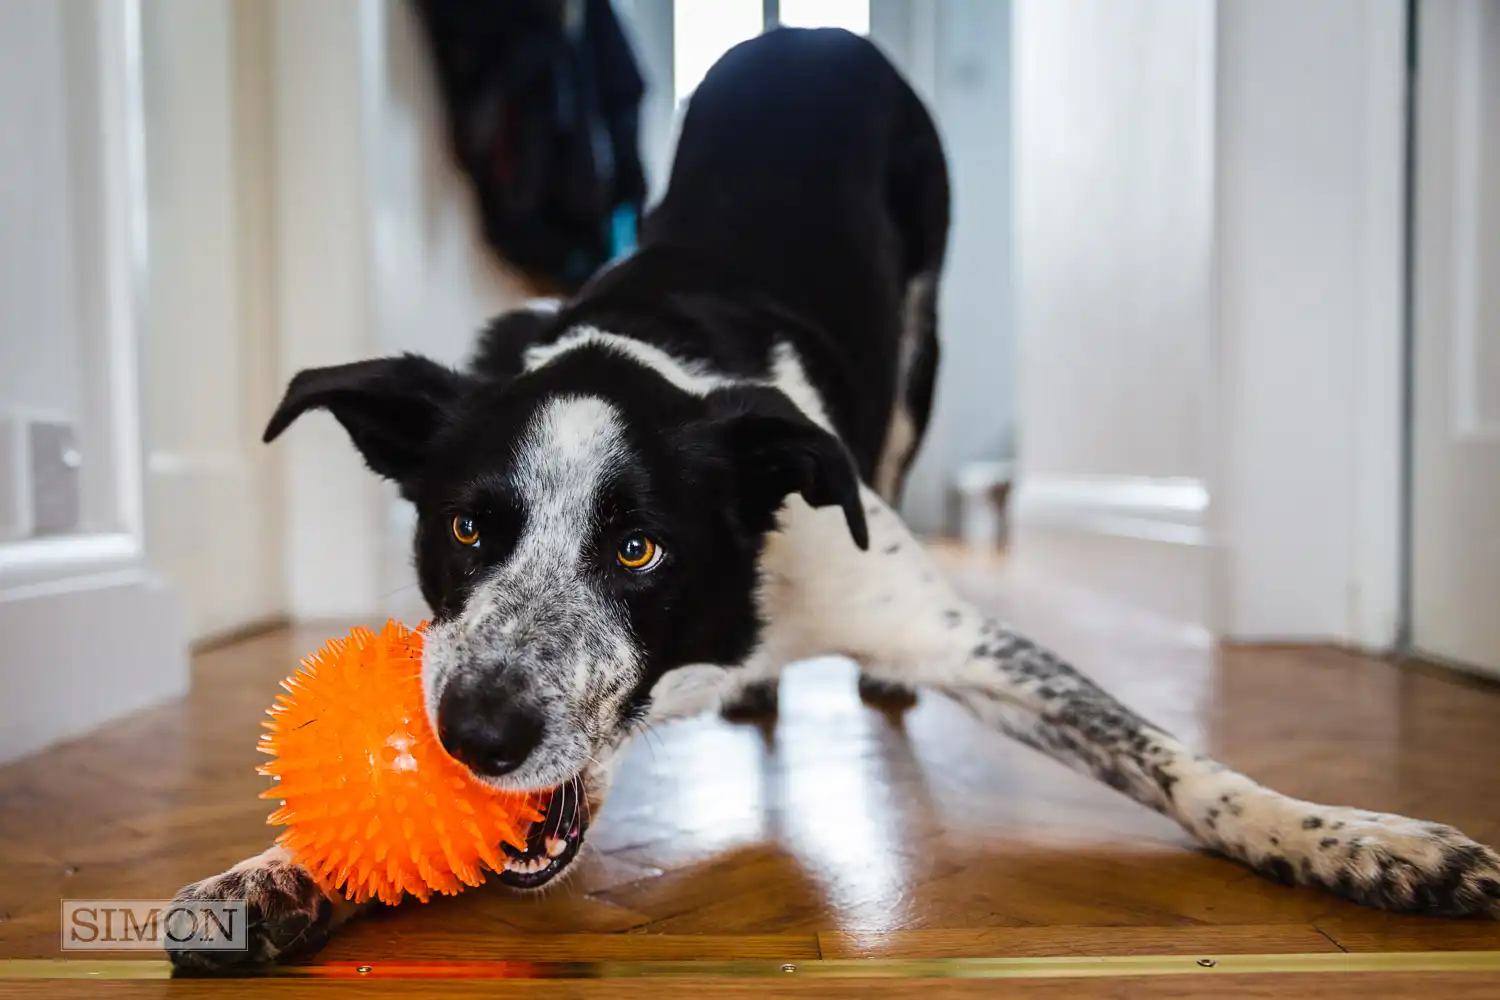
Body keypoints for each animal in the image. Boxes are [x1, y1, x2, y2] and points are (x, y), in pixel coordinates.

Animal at [170, 29, 1494, 971]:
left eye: (639, 548)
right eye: (464, 529)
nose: (479, 733)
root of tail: (802, 33)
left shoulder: (963, 632)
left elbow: (1182, 764)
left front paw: (1363, 844)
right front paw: (276, 875)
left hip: (919, 349)